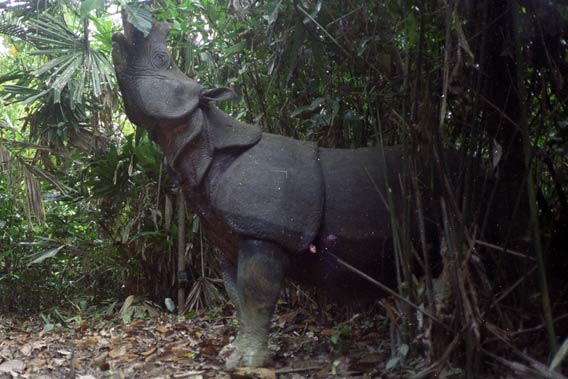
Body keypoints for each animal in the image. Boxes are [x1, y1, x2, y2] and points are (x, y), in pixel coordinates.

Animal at [111, 20, 466, 368]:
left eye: (162, 60)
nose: (119, 33)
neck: (202, 139)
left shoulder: (264, 231)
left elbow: (255, 297)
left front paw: (248, 362)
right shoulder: (228, 237)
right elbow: (237, 298)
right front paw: (234, 354)